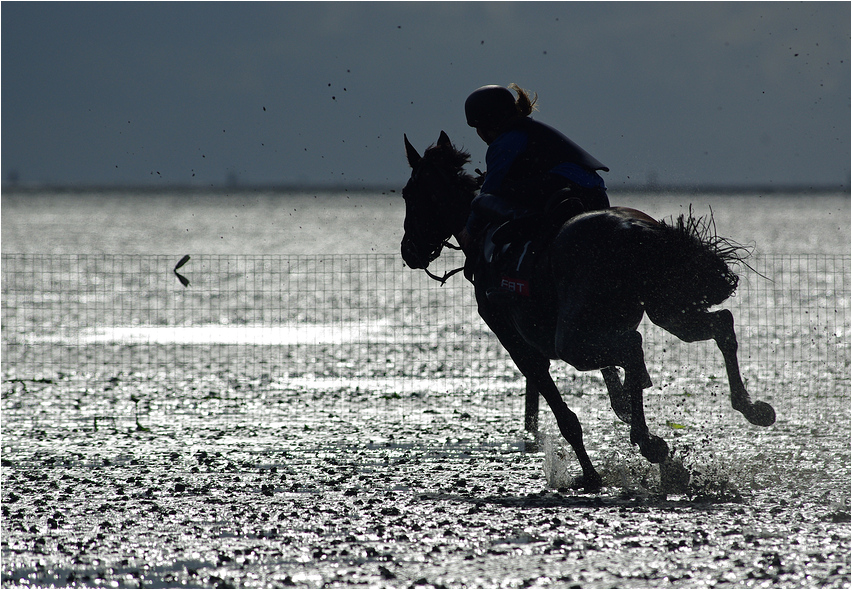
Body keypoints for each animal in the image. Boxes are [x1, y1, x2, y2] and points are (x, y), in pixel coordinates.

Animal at [400, 132, 772, 492]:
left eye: (408, 194)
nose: (408, 251)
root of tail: (635, 228)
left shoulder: (519, 344)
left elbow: (566, 414)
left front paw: (592, 475)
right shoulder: (598, 331)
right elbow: (619, 394)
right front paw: (665, 459)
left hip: (576, 342)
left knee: (634, 346)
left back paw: (650, 442)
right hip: (666, 309)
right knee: (719, 324)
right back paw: (749, 408)